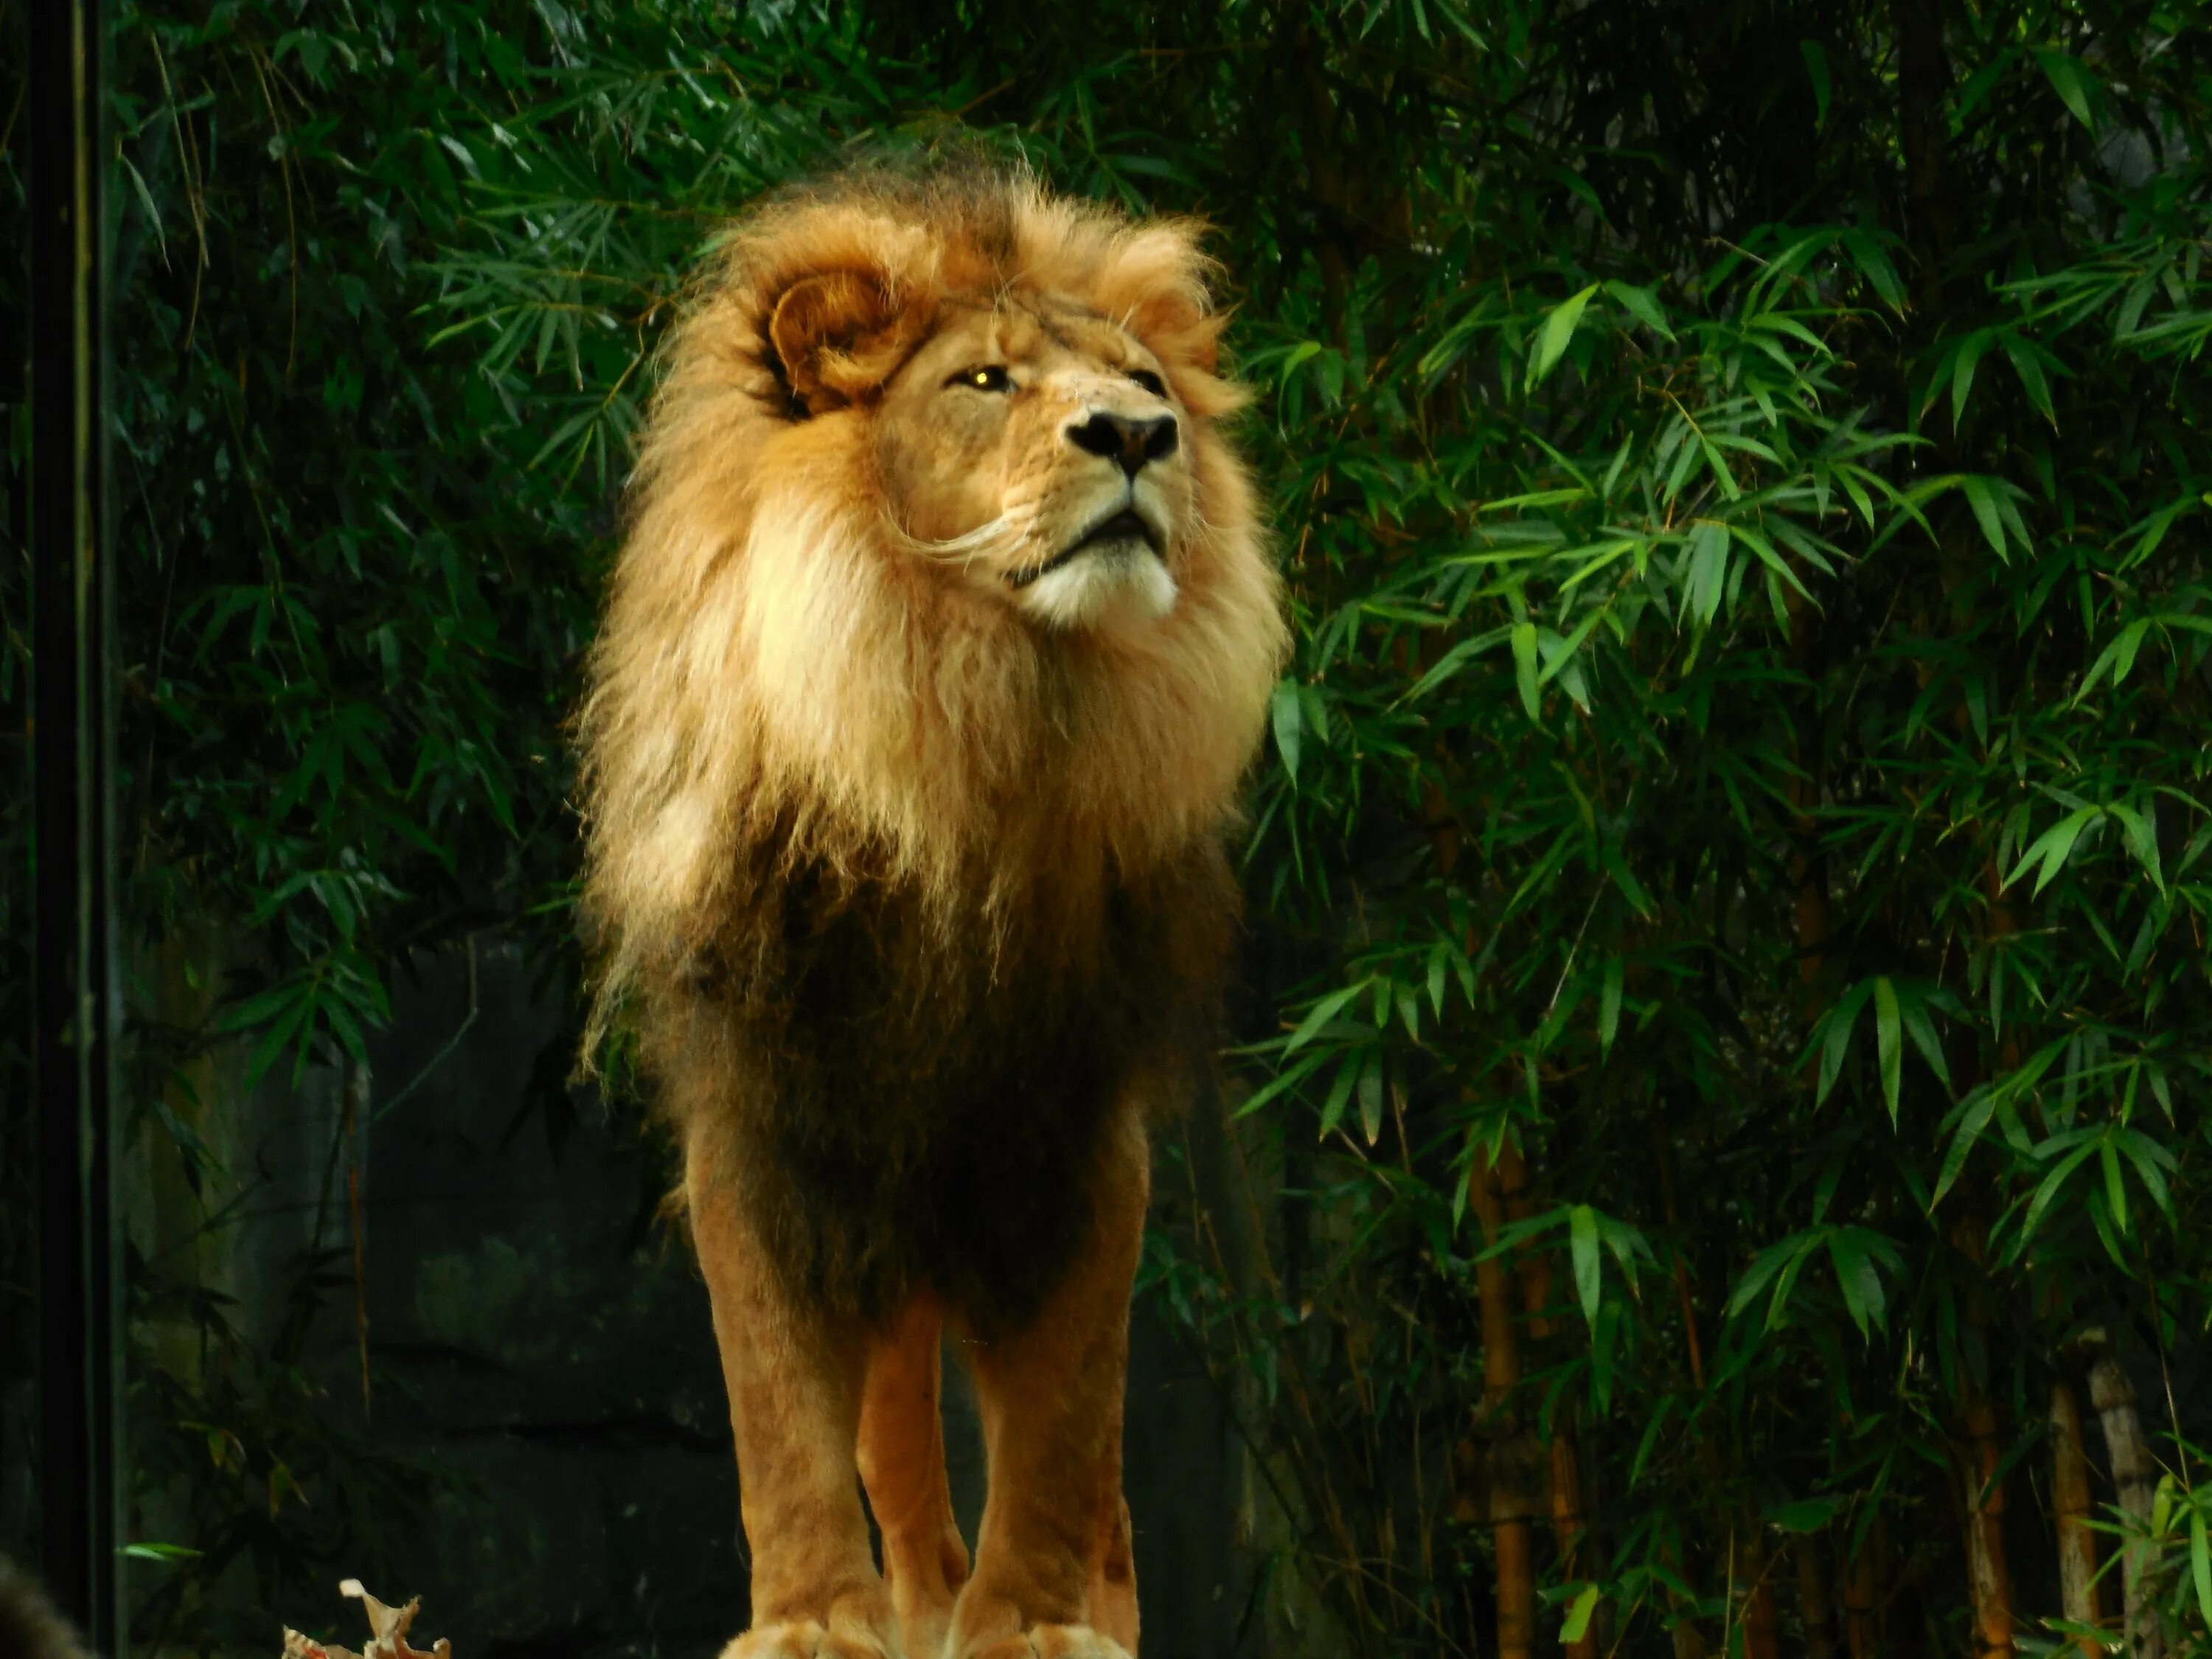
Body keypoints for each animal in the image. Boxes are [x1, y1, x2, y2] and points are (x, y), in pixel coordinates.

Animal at [580, 166, 1292, 1659]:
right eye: (983, 380)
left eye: (1149, 384)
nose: (1137, 436)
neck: (971, 738)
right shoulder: (764, 1124)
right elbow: (782, 1415)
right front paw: (813, 1622)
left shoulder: (1076, 1135)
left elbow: (1067, 1421)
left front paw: (1034, 1624)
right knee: (896, 1451)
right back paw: (912, 1605)